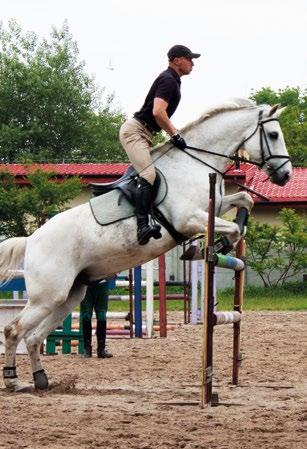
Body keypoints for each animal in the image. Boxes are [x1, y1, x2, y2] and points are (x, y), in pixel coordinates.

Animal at [0, 98, 292, 388]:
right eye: (273, 135)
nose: (286, 176)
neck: (196, 163)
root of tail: (31, 239)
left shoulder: (214, 206)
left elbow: (246, 200)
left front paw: (223, 240)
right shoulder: (189, 218)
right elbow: (231, 228)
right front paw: (211, 247)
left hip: (69, 296)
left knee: (34, 337)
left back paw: (41, 380)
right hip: (47, 296)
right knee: (14, 330)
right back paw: (13, 380)